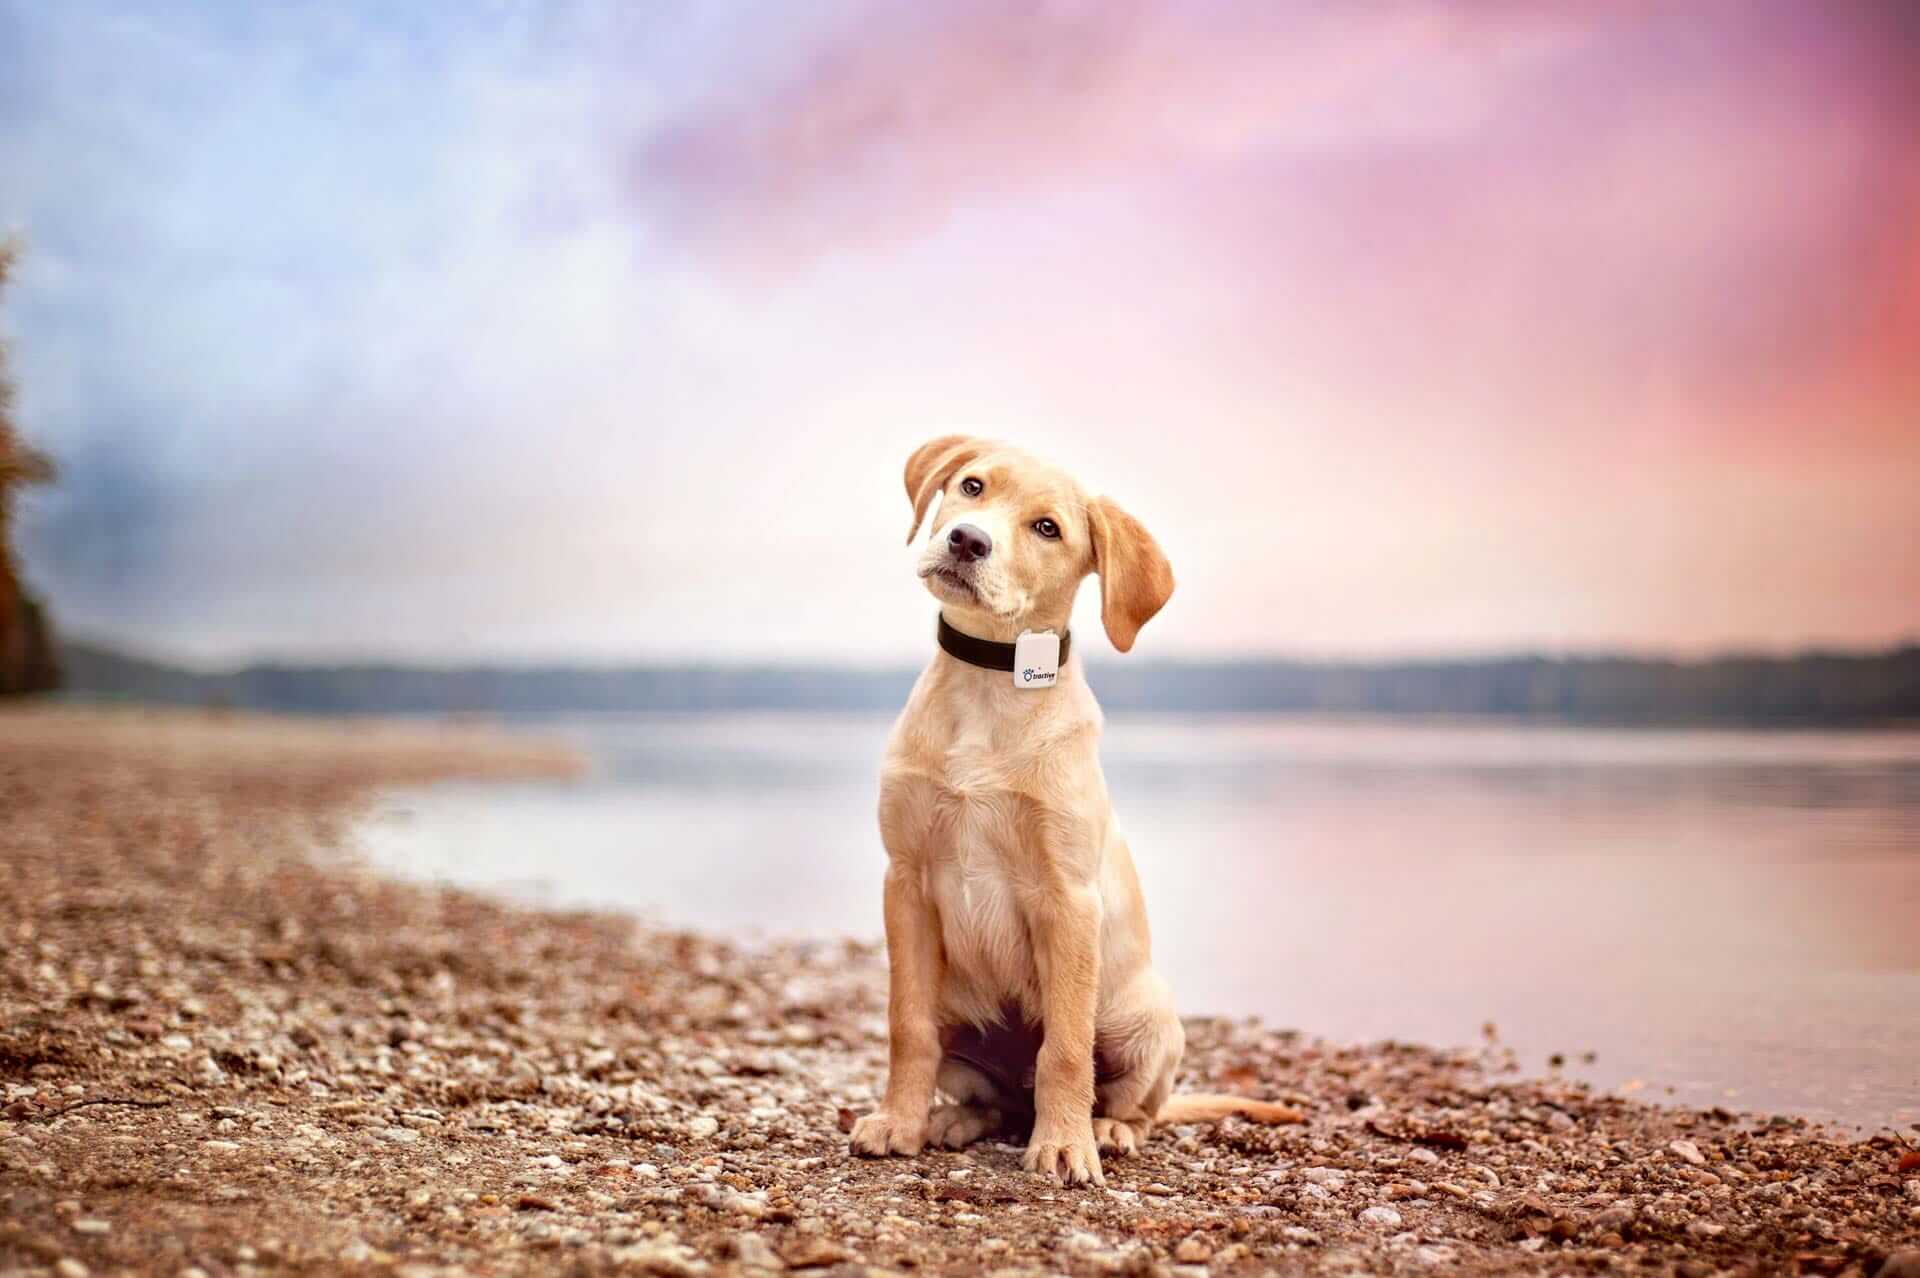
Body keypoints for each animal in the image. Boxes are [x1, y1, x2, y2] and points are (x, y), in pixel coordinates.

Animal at [848, 435, 1297, 1182]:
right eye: (972, 487)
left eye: (1047, 528)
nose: (967, 539)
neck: (990, 686)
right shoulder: (904, 882)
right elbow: (906, 1026)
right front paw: (899, 1121)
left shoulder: (1067, 899)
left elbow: (1064, 1043)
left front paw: (1064, 1144)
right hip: (961, 1018)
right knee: (998, 1101)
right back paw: (955, 1119)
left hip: (1147, 1019)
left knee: (1130, 1101)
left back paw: (1104, 1129)